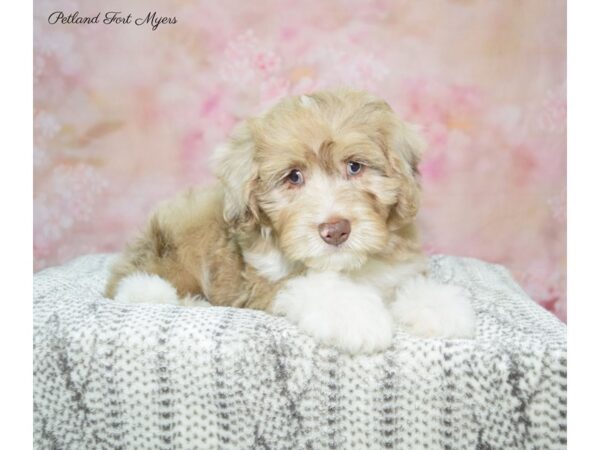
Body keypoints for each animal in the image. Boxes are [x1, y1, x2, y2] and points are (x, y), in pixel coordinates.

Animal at [105, 89, 476, 354]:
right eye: (293, 177)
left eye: (355, 167)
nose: (335, 230)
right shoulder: (261, 281)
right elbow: (316, 286)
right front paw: (357, 317)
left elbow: (408, 284)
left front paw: (439, 307)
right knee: (133, 286)